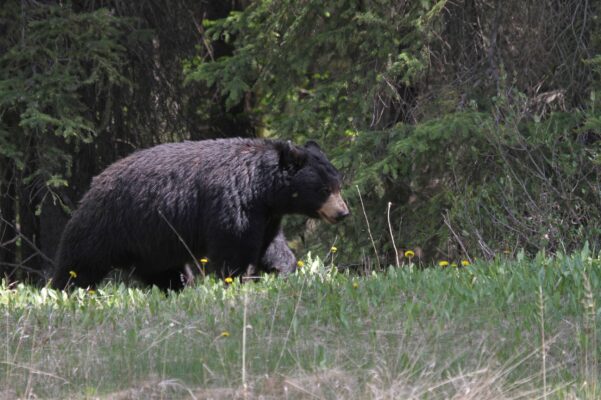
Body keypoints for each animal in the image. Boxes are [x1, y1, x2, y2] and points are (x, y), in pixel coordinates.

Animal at [54, 138, 350, 290]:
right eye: (324, 189)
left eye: (338, 184)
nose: (342, 213)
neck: (262, 188)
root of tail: (92, 186)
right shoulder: (234, 203)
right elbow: (234, 247)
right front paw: (239, 279)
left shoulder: (266, 214)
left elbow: (271, 245)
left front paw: (285, 268)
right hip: (107, 227)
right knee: (79, 264)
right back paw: (64, 287)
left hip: (152, 245)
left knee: (166, 272)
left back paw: (179, 287)